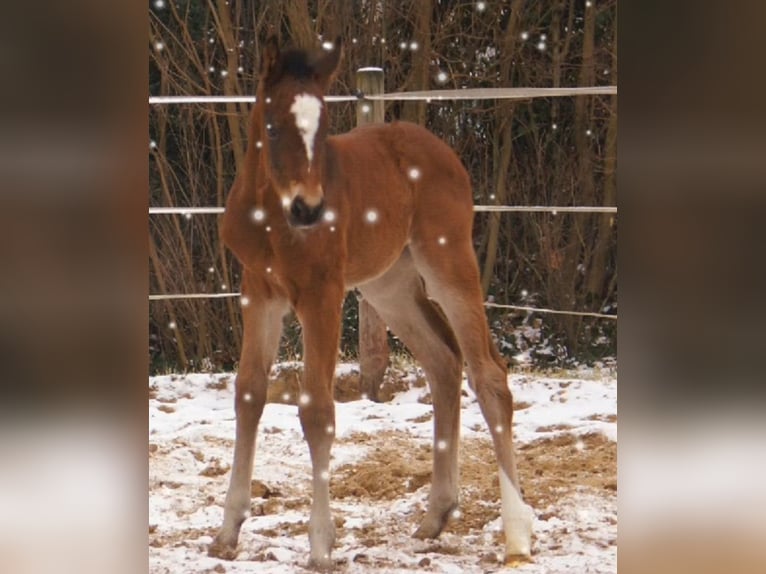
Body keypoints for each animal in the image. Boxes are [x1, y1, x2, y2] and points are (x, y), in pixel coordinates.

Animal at [210, 37, 536, 572]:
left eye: (324, 128)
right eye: (273, 126)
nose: (309, 209)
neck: (273, 217)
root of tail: (441, 149)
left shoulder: (322, 293)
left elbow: (317, 410)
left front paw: (321, 545)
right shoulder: (259, 291)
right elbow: (249, 393)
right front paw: (227, 532)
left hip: (447, 261)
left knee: (488, 376)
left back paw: (516, 536)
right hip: (390, 285)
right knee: (444, 363)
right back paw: (435, 516)